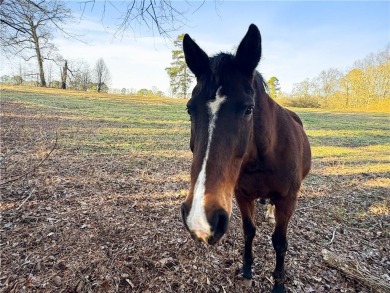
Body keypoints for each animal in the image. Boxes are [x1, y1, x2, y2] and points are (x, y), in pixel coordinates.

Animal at [180, 24, 310, 290]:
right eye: (189, 109)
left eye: (249, 109)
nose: (200, 218)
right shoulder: (241, 195)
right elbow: (249, 230)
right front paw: (248, 268)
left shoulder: (288, 200)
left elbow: (279, 242)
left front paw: (278, 283)